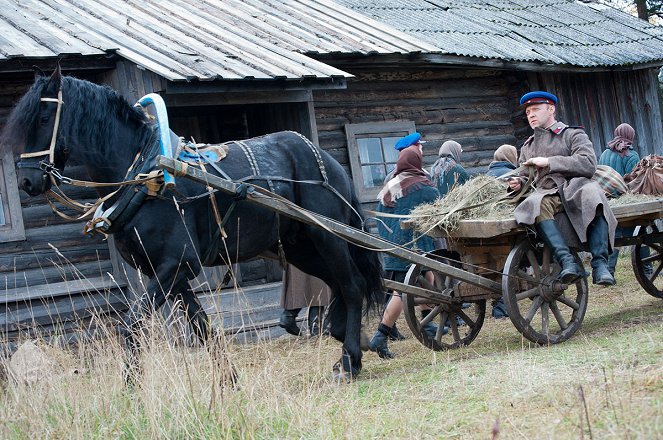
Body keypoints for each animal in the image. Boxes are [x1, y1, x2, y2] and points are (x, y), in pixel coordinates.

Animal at [2, 67, 382, 380]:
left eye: (44, 116)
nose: (27, 181)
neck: (145, 175)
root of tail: (326, 160)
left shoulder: (177, 265)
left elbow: (133, 324)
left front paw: (132, 387)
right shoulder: (168, 273)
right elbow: (201, 327)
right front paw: (228, 380)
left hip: (327, 235)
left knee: (352, 285)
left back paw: (349, 359)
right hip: (301, 245)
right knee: (337, 283)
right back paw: (346, 340)